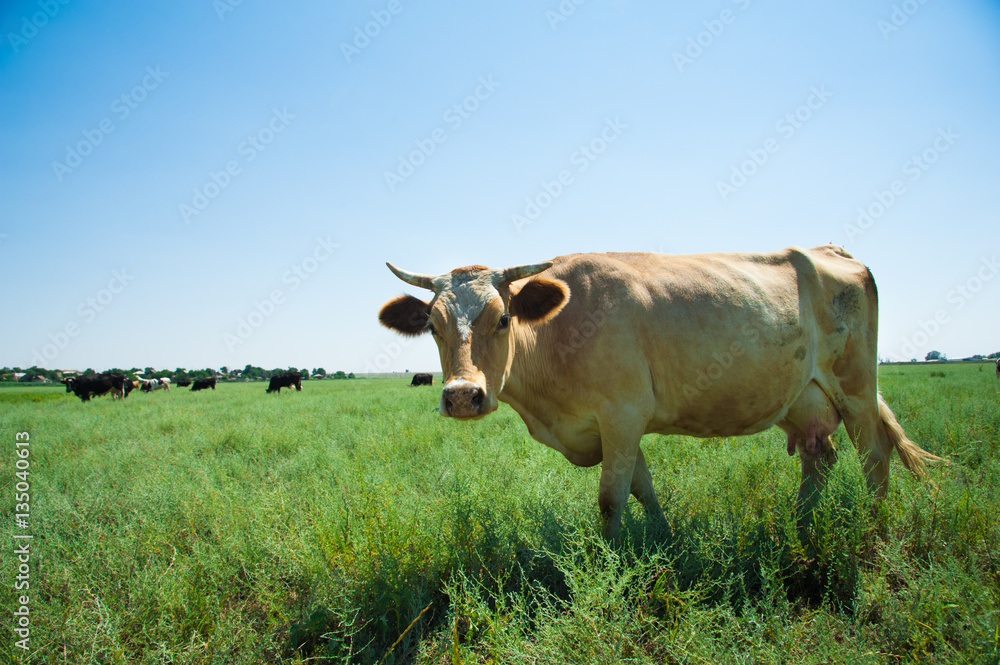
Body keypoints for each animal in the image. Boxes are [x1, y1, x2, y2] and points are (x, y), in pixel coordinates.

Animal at [378, 246, 940, 536]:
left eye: (502, 318)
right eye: (432, 325)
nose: (461, 396)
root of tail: (831, 250)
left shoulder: (622, 414)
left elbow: (611, 500)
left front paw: (607, 562)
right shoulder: (618, 426)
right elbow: (642, 488)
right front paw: (666, 539)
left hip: (857, 389)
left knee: (874, 457)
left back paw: (874, 530)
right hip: (803, 399)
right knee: (819, 458)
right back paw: (798, 525)